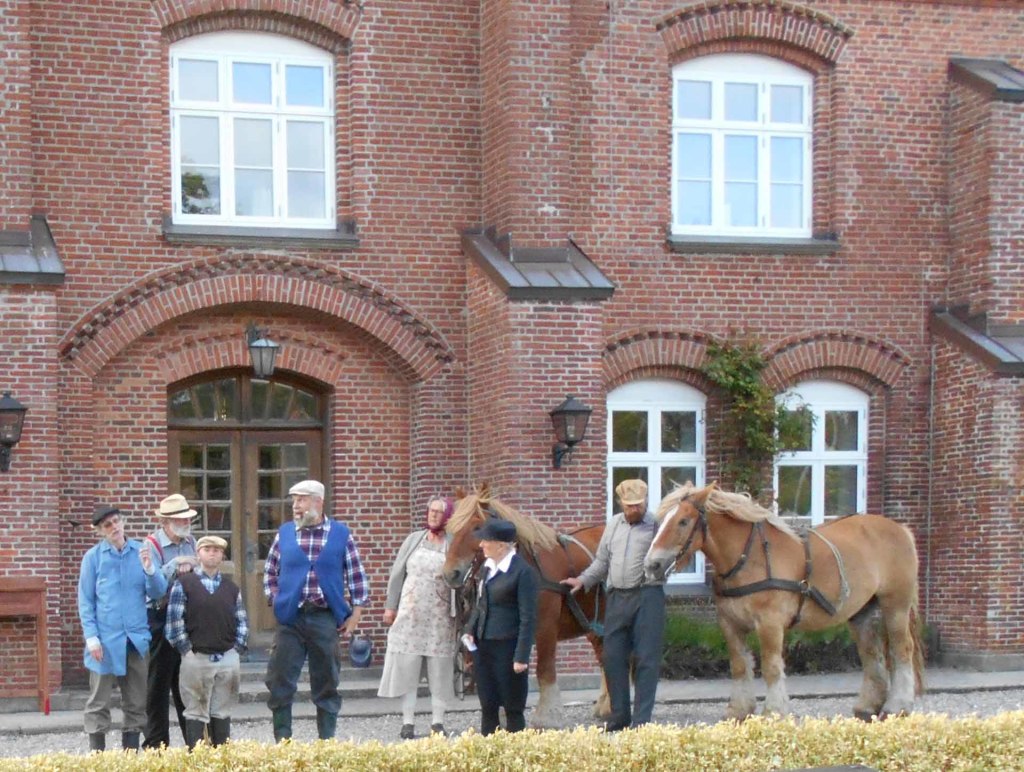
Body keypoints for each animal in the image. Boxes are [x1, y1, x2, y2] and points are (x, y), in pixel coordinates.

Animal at [441, 488, 607, 727]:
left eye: (477, 527)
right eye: (450, 528)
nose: (450, 573)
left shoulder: (545, 627)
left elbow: (544, 669)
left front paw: (547, 717)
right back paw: (605, 705)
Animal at [644, 482, 924, 721]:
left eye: (683, 521)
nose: (652, 565)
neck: (750, 558)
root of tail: (901, 529)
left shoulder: (770, 623)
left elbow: (771, 667)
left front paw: (774, 711)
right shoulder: (730, 623)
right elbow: (739, 665)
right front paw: (739, 710)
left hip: (895, 606)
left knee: (901, 651)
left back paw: (897, 705)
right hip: (861, 611)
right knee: (871, 654)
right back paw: (867, 706)